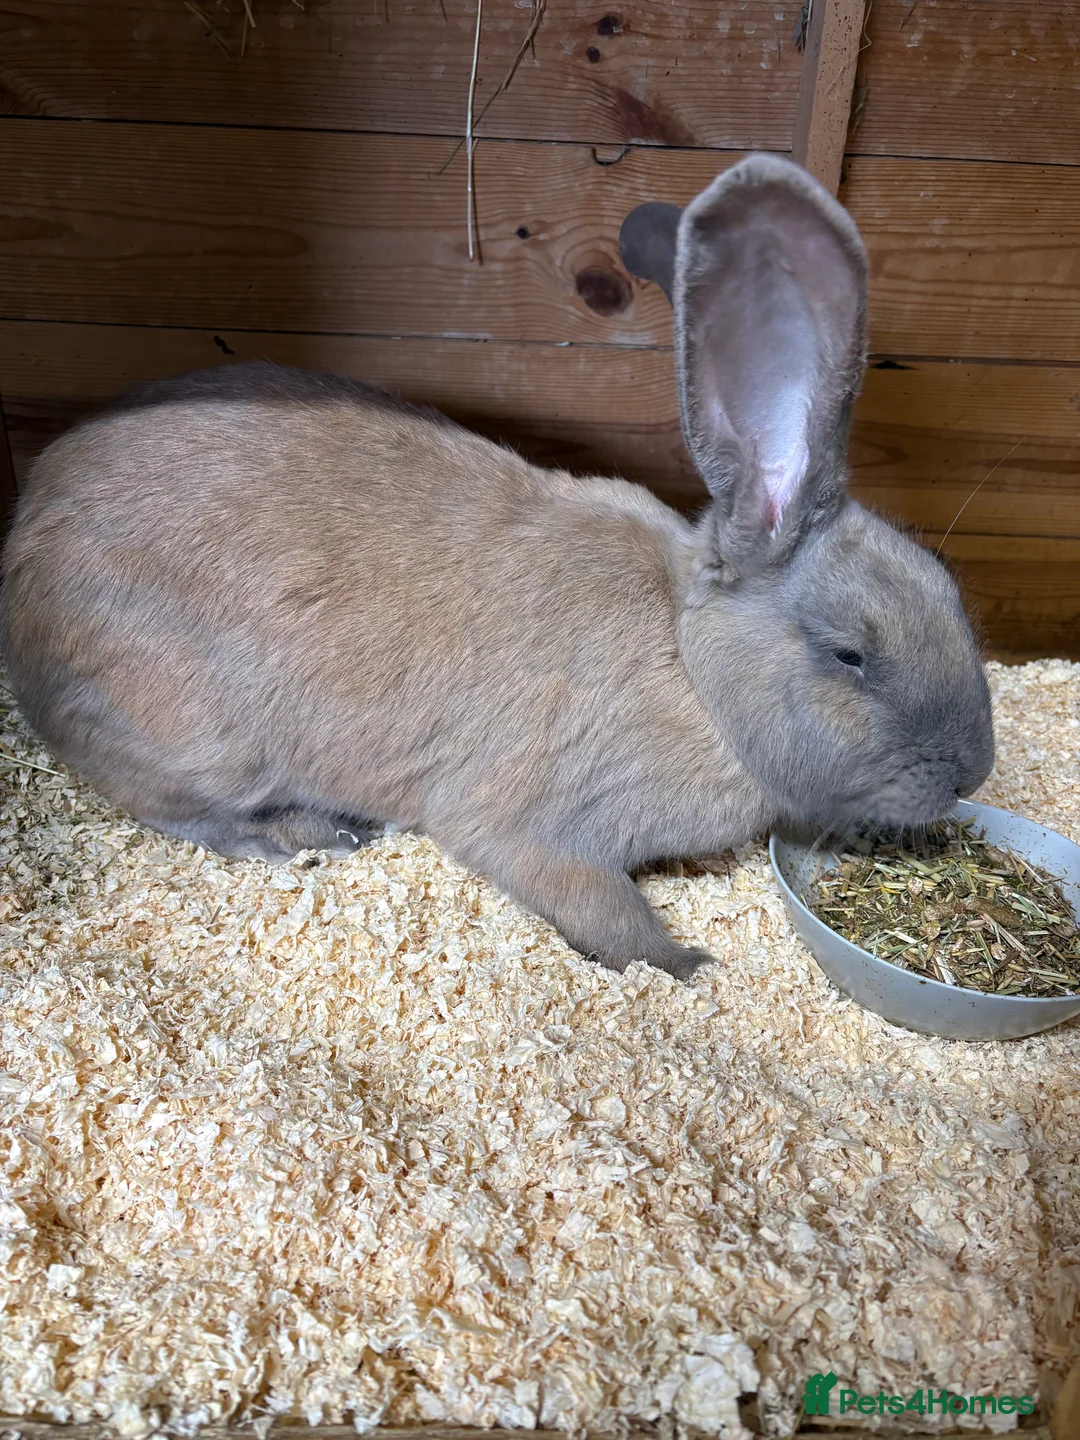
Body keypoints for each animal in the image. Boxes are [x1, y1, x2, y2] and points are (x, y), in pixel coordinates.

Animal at [0, 154, 994, 982]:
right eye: (849, 654)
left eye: (951, 594)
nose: (973, 775)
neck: (690, 667)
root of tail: (26, 531)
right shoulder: (536, 828)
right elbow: (603, 907)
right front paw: (686, 965)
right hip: (189, 733)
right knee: (172, 804)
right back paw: (308, 834)